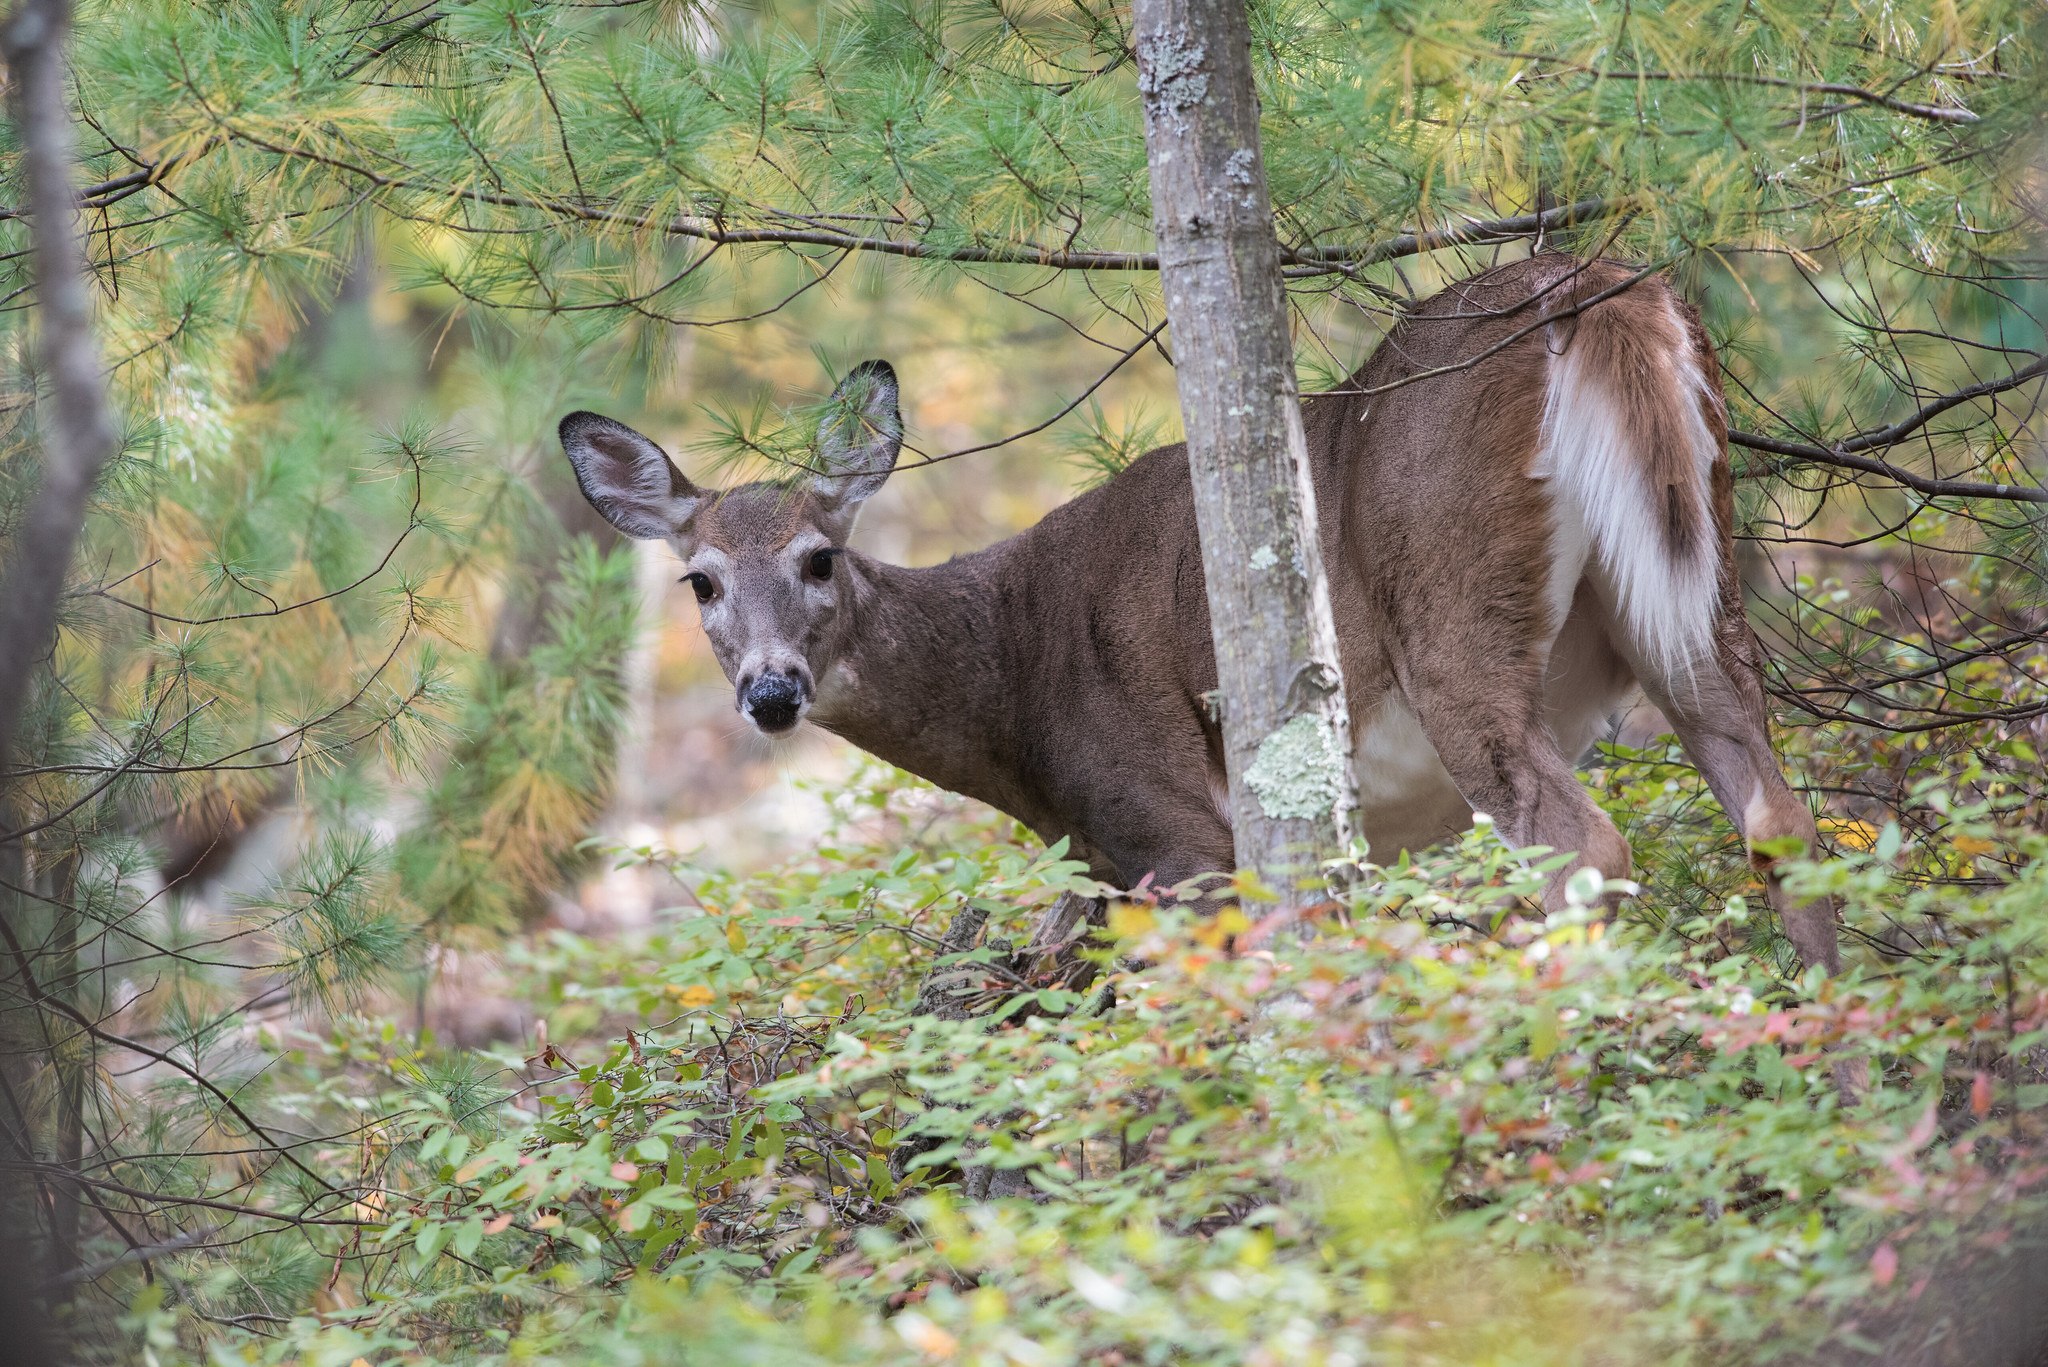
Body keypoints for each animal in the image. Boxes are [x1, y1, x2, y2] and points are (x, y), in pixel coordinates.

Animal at [569, 256, 1851, 979]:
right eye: (701, 581)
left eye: (819, 557)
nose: (769, 690)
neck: (1013, 689)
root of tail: (1603, 287)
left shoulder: (1175, 834)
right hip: (1689, 585)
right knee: (1778, 812)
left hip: (1453, 617)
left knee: (1578, 840)